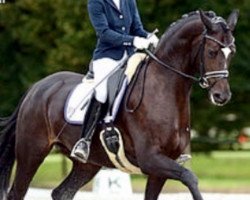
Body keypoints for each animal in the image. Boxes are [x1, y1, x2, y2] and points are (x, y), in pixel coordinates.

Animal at [0, 9, 238, 200]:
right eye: (212, 52)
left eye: (232, 52)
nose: (222, 96)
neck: (163, 87)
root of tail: (36, 88)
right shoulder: (151, 159)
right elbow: (190, 178)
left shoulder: (160, 168)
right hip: (32, 152)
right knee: (17, 192)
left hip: (88, 164)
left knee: (62, 193)